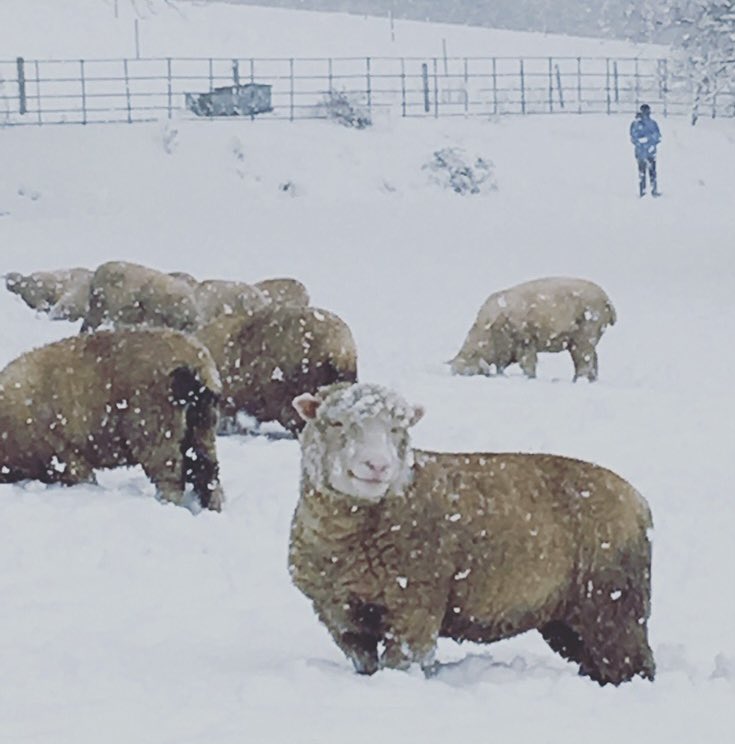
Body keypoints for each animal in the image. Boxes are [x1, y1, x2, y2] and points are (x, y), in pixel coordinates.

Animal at [0, 328, 224, 511]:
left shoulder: (64, 455)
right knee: (208, 473)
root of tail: (197, 365)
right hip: (201, 425)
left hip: (155, 430)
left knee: (172, 476)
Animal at [289, 382, 655, 685]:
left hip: (612, 602)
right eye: (336, 423)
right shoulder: (338, 615)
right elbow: (365, 663)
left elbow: (401, 663)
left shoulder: (416, 608)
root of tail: (638, 500)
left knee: (631, 661)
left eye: (397, 428)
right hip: (567, 617)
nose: (377, 465)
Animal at [449, 277, 617, 381]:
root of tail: (607, 300)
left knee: (584, 361)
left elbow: (528, 365)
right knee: (593, 361)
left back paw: (578, 381)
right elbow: (502, 367)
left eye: (469, 374)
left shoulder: (524, 342)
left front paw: (530, 378)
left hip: (585, 335)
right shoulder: (505, 351)